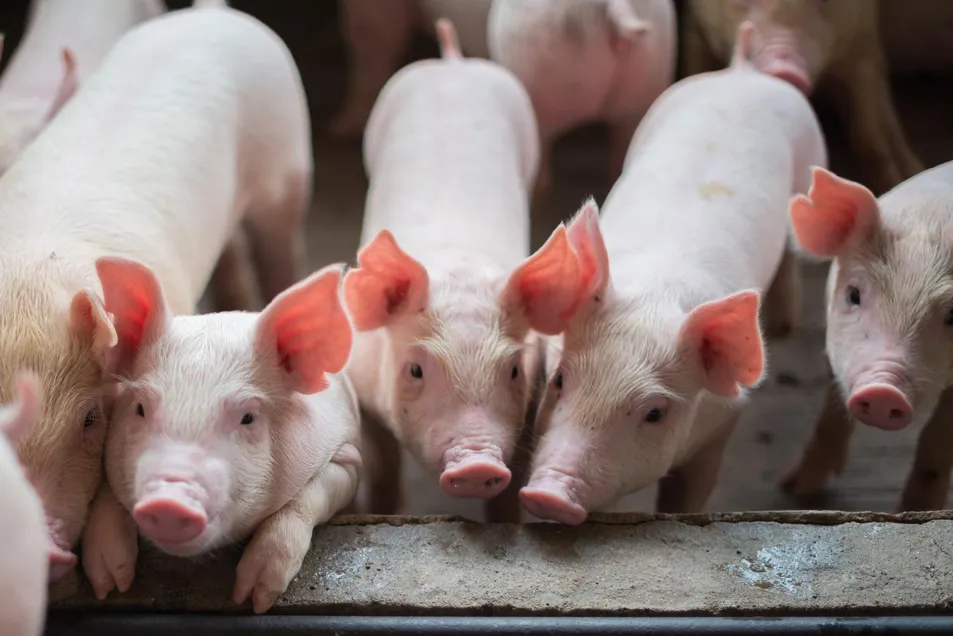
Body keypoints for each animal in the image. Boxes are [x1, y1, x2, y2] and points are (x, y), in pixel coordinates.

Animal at [80, 259, 360, 614]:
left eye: (248, 417)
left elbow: (304, 500)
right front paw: (110, 587)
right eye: (140, 408)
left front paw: (253, 599)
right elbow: (107, 495)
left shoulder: (347, 456)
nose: (169, 501)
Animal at [341, 19, 571, 522]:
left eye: (513, 370)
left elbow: (510, 485)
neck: (458, 269)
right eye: (414, 370)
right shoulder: (364, 389)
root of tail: (451, 61)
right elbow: (383, 465)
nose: (477, 462)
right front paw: (386, 513)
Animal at [518, 21, 827, 524]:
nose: (547, 494)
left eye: (655, 413)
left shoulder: (724, 420)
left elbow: (689, 493)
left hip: (811, 162)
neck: (657, 292)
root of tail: (743, 71)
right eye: (560, 379)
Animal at [781, 161, 953, 511]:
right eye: (854, 294)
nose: (883, 391)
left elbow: (937, 440)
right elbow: (830, 414)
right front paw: (794, 490)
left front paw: (915, 511)